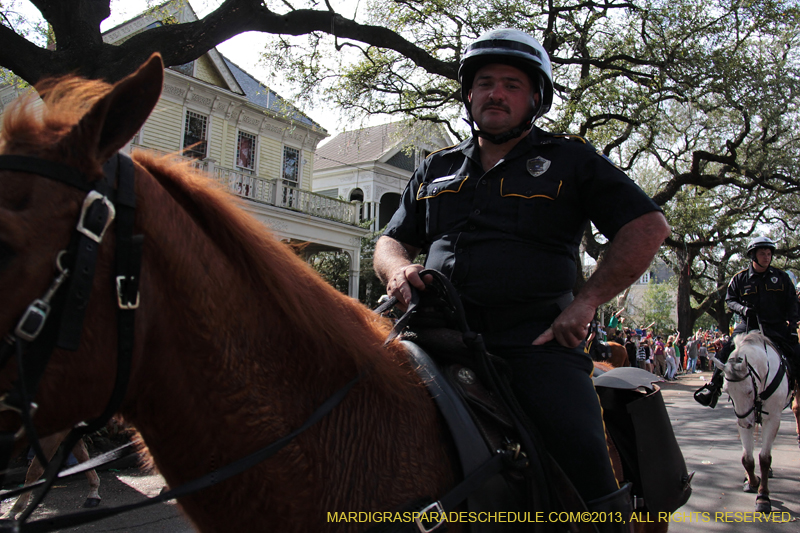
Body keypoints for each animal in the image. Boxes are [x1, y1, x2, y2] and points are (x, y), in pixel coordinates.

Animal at [712, 332, 792, 512]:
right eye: (727, 391)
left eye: (749, 391)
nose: (745, 424)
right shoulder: (742, 416)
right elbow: (747, 458)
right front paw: (752, 481)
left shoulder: (772, 418)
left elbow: (764, 458)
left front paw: (763, 497)